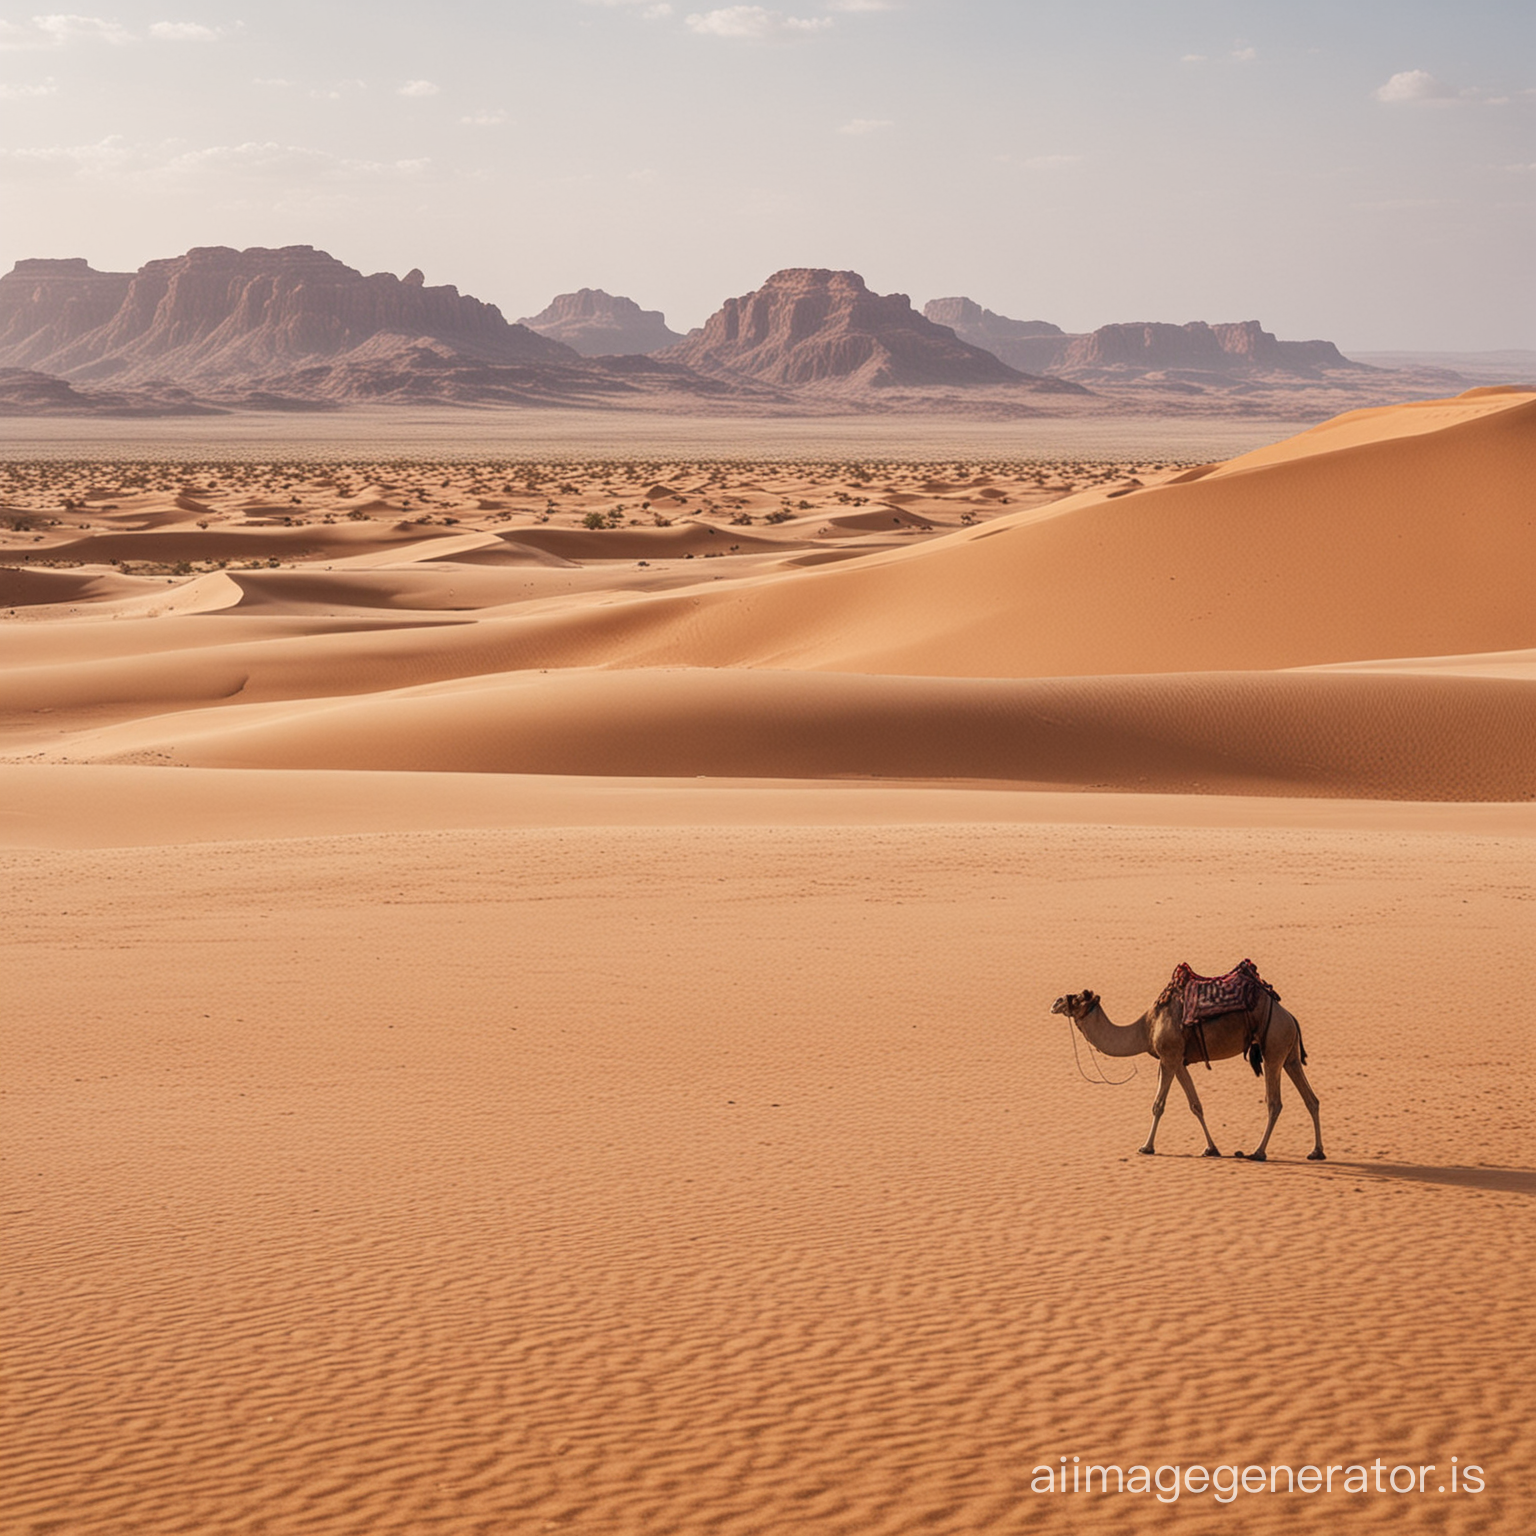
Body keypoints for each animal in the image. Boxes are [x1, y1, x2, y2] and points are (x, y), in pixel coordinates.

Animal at [1056, 976, 1320, 1155]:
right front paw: (1211, 1148)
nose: (1056, 1001)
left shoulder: (1169, 1056)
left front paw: (1146, 1147)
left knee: (1274, 1102)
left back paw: (1258, 1152)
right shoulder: (1178, 1061)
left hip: (1273, 1046)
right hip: (1289, 1053)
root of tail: (1290, 1016)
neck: (1146, 1028)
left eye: (1078, 997)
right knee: (1311, 1098)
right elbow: (1196, 1105)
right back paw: (1317, 1152)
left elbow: (1158, 1105)